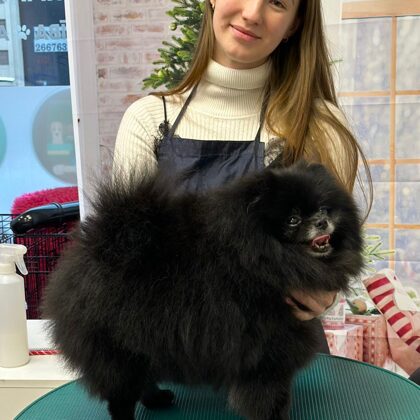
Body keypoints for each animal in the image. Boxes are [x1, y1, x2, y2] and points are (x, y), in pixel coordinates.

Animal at [42, 160, 364, 420]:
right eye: (293, 219)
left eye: (323, 209)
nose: (322, 221)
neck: (261, 260)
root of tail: (98, 244)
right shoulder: (266, 358)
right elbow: (271, 402)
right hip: (117, 350)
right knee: (121, 396)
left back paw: (157, 398)